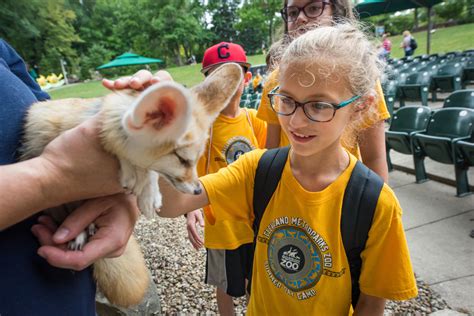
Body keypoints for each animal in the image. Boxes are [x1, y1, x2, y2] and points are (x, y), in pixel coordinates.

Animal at [21, 62, 244, 306]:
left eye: (196, 160)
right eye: (182, 159)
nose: (196, 191)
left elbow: (149, 171)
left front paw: (149, 192)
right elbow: (133, 161)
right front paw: (136, 178)